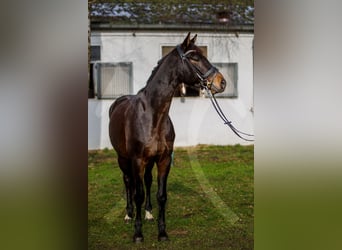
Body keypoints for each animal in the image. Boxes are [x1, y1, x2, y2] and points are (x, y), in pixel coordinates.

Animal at [109, 33, 226, 242]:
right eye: (194, 57)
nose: (221, 82)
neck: (153, 116)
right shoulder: (137, 160)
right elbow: (137, 194)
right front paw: (138, 234)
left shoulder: (163, 160)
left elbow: (161, 195)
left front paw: (162, 232)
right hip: (123, 158)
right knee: (128, 181)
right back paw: (129, 214)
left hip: (149, 162)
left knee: (147, 181)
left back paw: (148, 212)